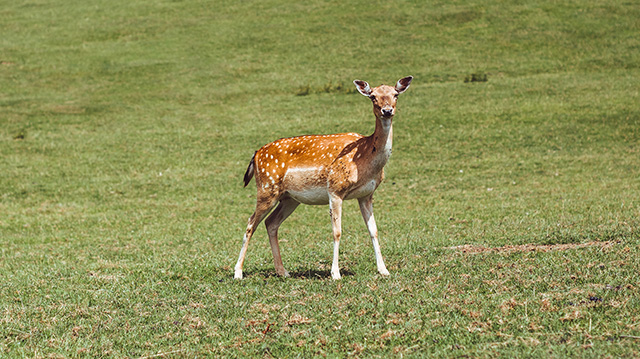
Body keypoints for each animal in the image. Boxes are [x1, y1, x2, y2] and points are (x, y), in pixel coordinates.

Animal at [235, 76, 416, 282]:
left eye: (395, 94)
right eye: (372, 96)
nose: (387, 110)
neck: (366, 155)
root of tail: (256, 154)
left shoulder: (366, 194)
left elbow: (374, 230)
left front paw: (384, 270)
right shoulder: (335, 189)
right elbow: (337, 231)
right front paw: (335, 273)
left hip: (289, 198)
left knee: (271, 223)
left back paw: (283, 271)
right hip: (267, 187)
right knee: (251, 223)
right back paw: (238, 272)